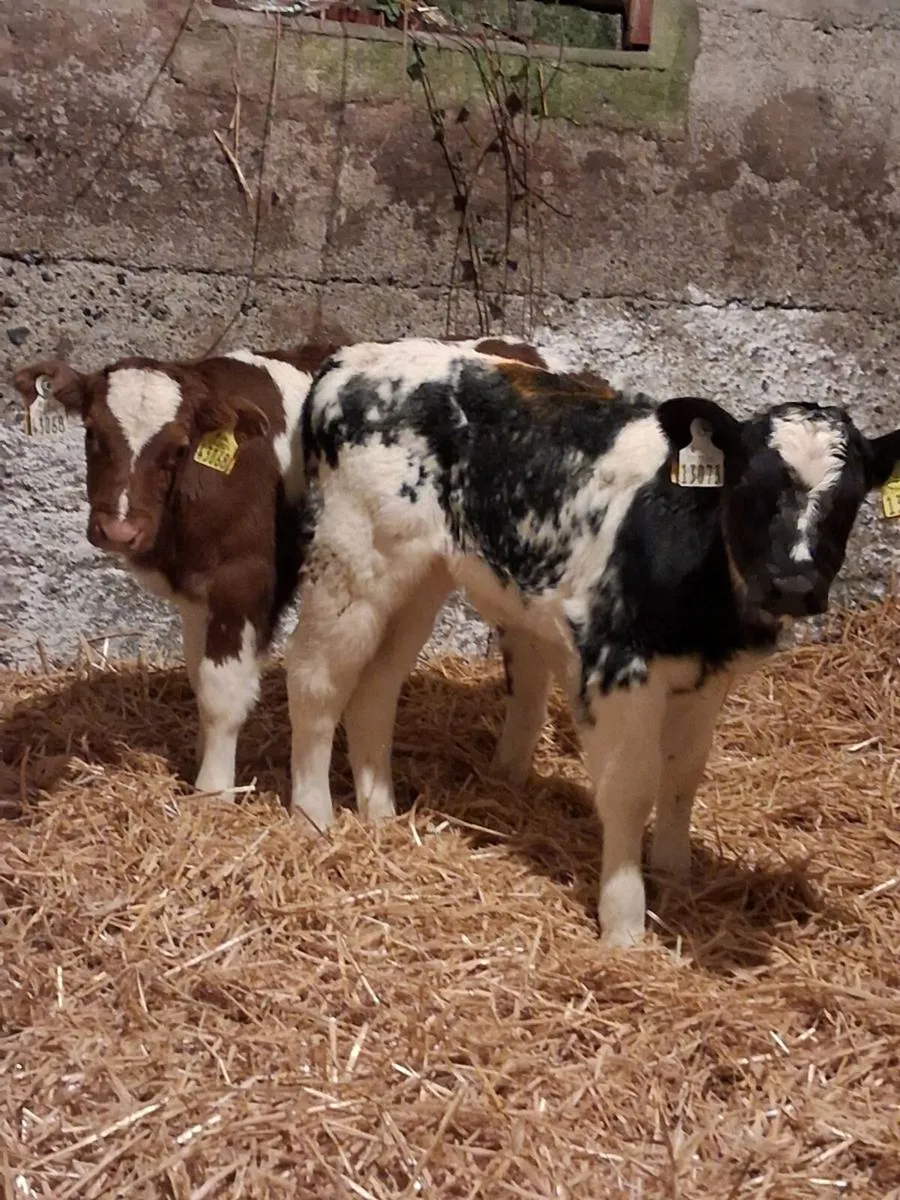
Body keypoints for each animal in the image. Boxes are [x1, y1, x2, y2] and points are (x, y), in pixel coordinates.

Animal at [281, 338, 900, 948]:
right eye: (749, 486)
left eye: (849, 502)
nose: (793, 585)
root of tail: (350, 359)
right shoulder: (617, 666)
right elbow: (630, 790)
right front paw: (624, 923)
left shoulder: (708, 680)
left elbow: (683, 776)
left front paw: (676, 876)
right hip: (351, 559)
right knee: (315, 678)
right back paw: (314, 817)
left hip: (419, 576)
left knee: (377, 687)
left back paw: (379, 813)